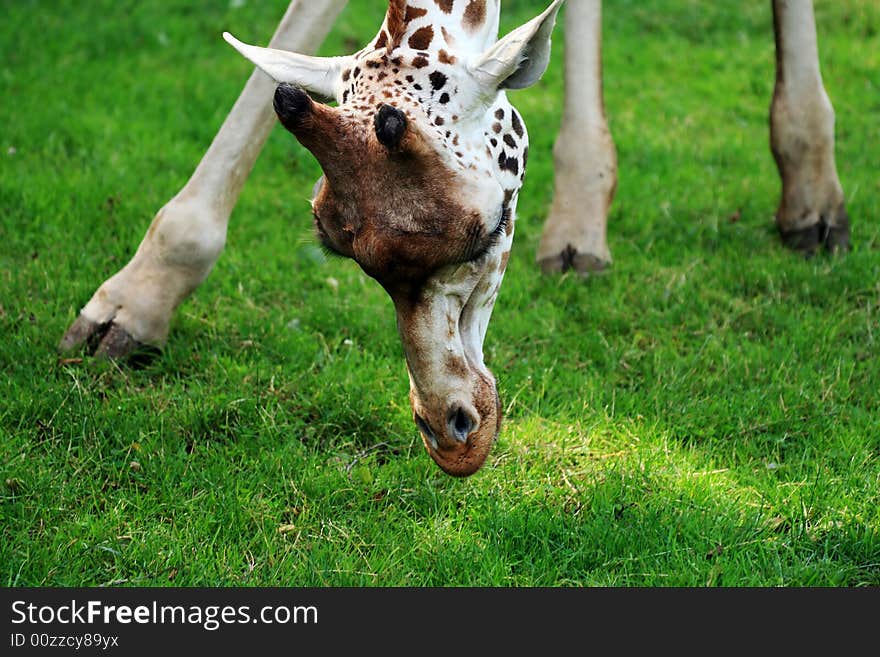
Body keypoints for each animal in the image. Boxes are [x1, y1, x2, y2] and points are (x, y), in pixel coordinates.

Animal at [60, 0, 844, 474]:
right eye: (337, 242)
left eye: (489, 227)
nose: (454, 437)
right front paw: (129, 306)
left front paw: (812, 188)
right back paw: (580, 222)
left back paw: (809, 199)